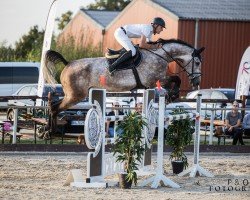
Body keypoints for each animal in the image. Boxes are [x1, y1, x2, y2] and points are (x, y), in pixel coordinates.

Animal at [43, 38, 204, 131]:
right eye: (197, 62)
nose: (197, 82)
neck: (161, 56)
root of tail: (68, 63)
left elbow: (175, 80)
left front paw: (172, 95)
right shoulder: (154, 80)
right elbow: (176, 79)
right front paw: (172, 95)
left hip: (72, 95)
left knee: (53, 105)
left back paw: (48, 130)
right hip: (75, 96)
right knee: (55, 107)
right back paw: (50, 132)